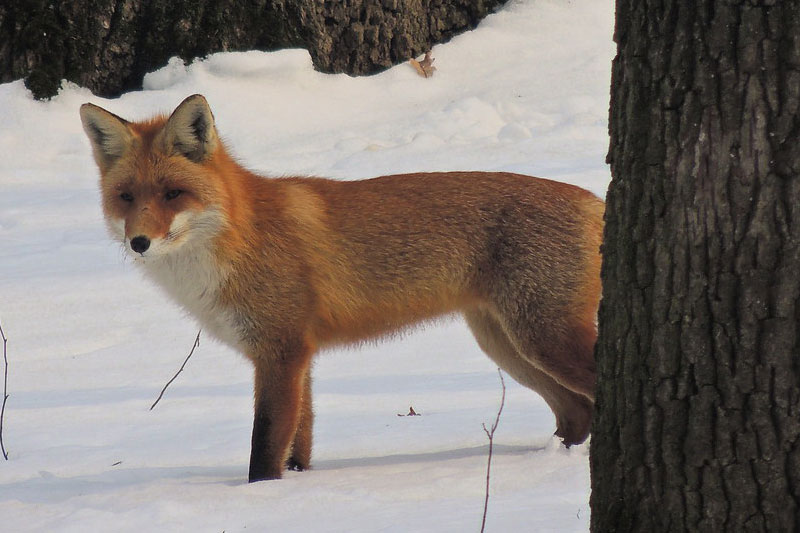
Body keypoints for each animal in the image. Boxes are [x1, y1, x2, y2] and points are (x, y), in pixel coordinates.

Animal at [83, 93, 608, 480]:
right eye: (126, 197)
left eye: (173, 194)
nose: (139, 242)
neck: (239, 236)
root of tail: (593, 199)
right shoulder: (299, 356)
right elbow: (300, 440)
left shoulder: (281, 350)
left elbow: (265, 445)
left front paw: (260, 496)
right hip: (506, 346)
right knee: (576, 414)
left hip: (543, 340)